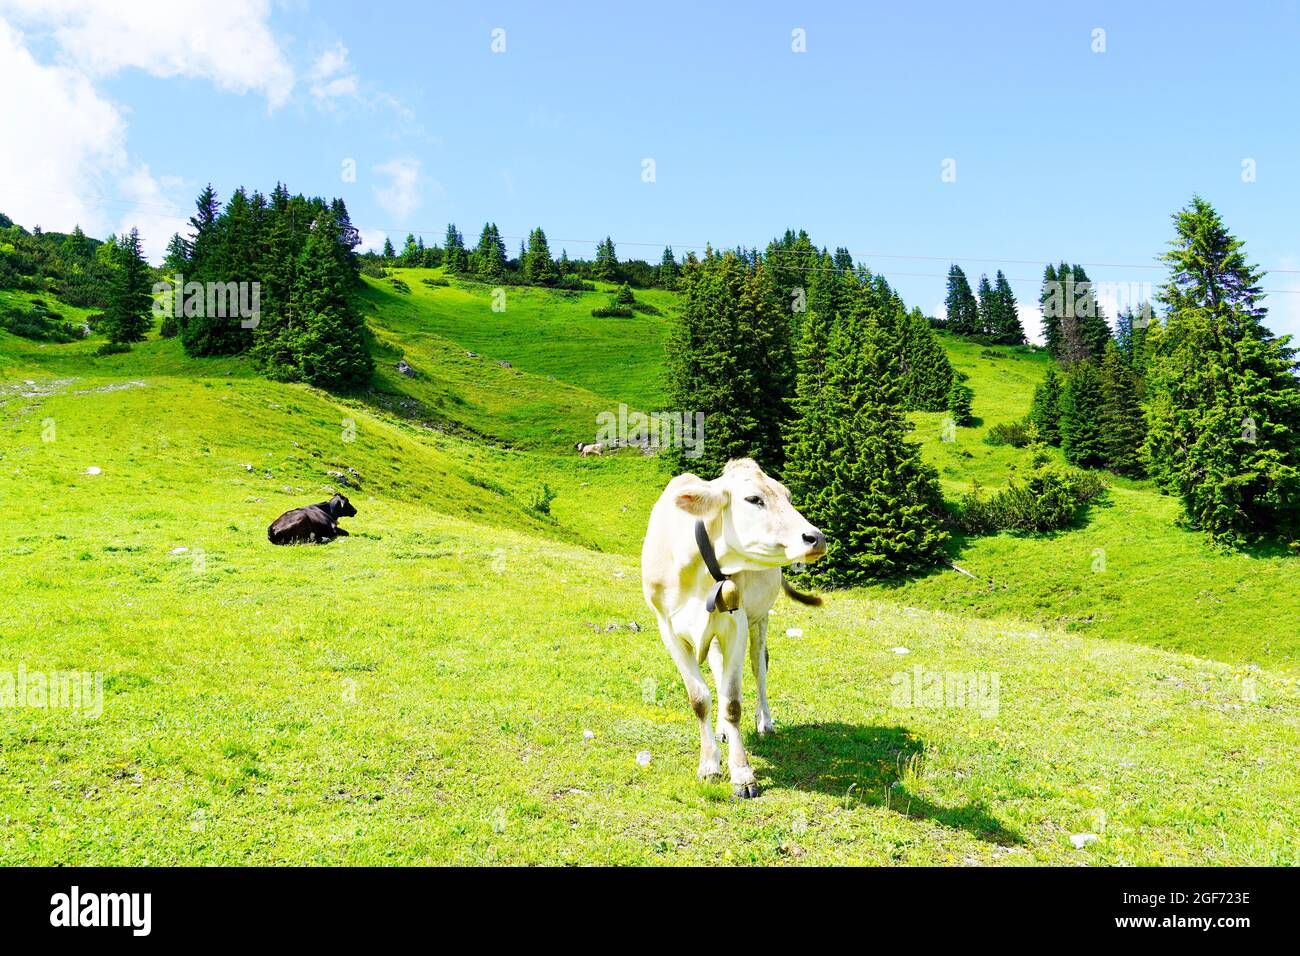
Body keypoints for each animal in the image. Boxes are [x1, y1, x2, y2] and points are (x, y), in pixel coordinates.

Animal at [639, 460, 821, 796]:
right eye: (753, 499)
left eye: (788, 497)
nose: (816, 538)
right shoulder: (667, 628)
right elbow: (700, 699)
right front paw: (710, 765)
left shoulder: (737, 623)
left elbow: (733, 701)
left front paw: (742, 773)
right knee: (719, 669)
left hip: (760, 619)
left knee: (759, 666)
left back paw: (765, 722)